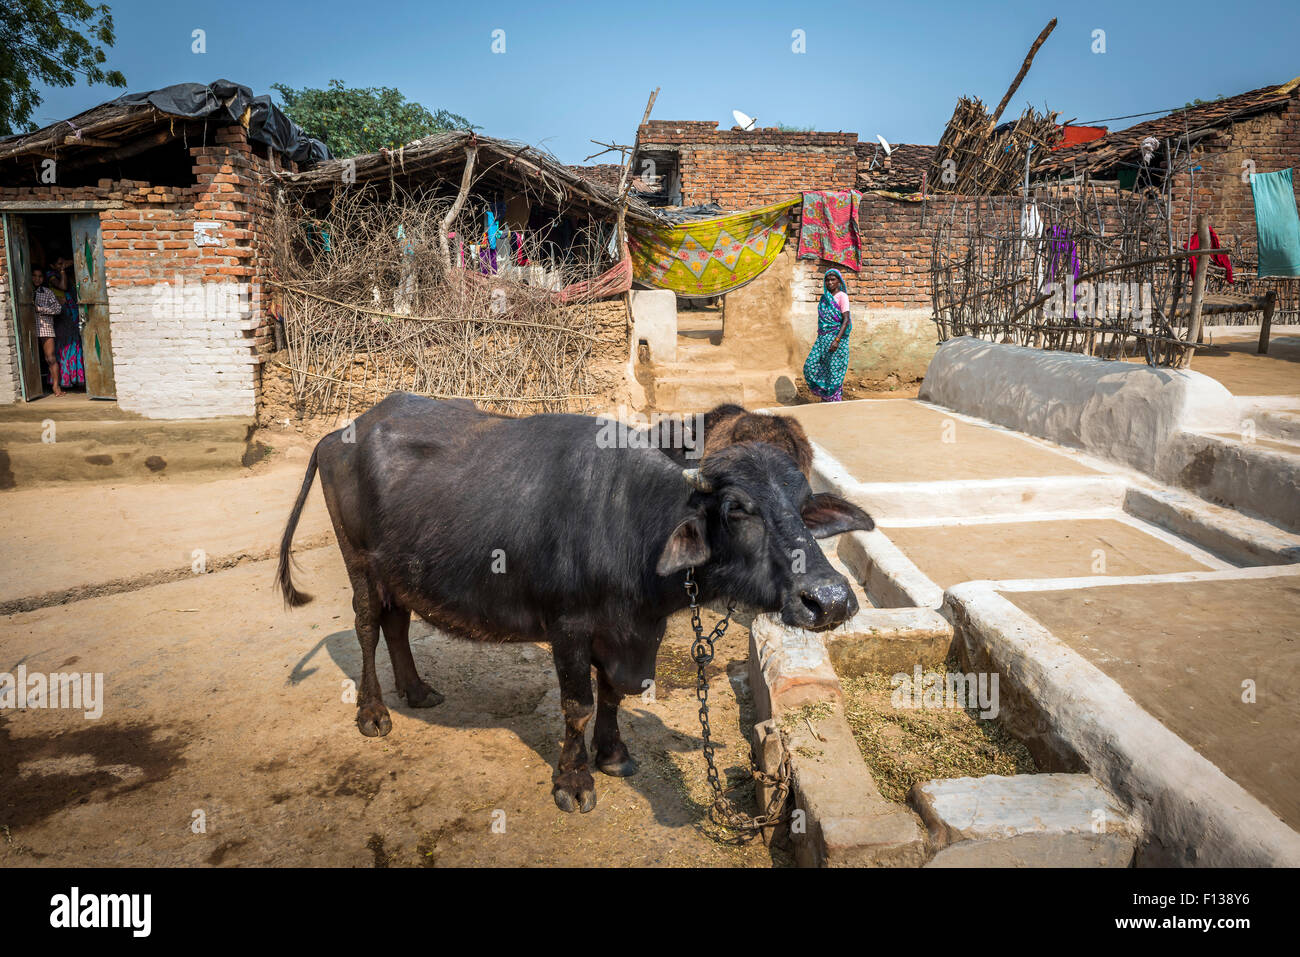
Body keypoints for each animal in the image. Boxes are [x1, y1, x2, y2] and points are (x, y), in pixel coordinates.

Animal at [279, 392, 878, 811]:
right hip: (359, 562)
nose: (829, 600)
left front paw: (612, 755)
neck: (628, 525)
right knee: (367, 625)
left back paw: (418, 690)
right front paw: (573, 781)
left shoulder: (634, 631)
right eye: (737, 508)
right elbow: (578, 705)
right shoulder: (566, 627)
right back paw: (374, 712)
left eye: (803, 506)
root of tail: (338, 436)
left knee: (398, 622)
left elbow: (614, 691)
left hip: (401, 570)